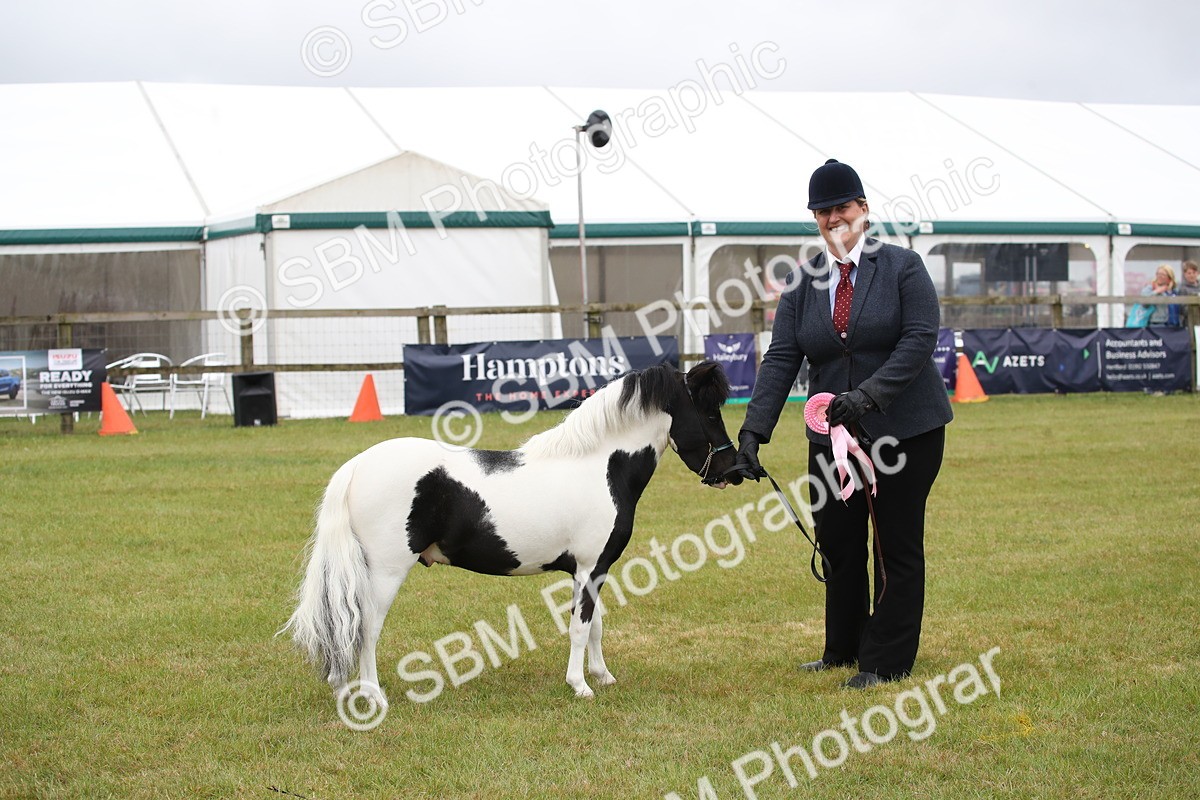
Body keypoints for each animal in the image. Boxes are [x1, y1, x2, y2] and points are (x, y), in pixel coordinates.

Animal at [282, 360, 738, 708]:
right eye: (709, 413)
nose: (732, 471)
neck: (601, 467)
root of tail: (358, 463)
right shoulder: (589, 568)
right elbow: (579, 627)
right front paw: (580, 687)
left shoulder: (593, 569)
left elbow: (595, 625)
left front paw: (602, 676)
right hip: (385, 573)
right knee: (366, 630)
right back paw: (375, 697)